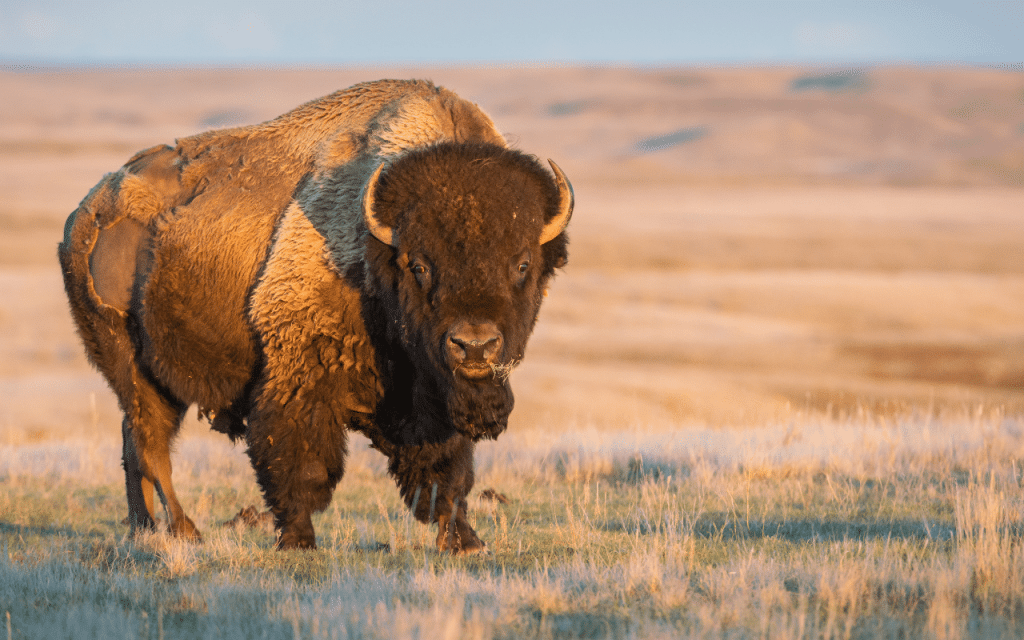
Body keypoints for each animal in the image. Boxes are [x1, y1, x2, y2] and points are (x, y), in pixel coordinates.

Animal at [58, 79, 573, 552]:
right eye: (419, 265)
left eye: (522, 264)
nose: (474, 345)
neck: (375, 254)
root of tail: (86, 212)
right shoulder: (299, 376)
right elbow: (301, 462)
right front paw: (297, 541)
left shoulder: (434, 401)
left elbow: (446, 471)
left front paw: (465, 541)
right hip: (131, 367)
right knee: (151, 445)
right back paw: (186, 532)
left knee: (134, 446)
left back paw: (143, 530)